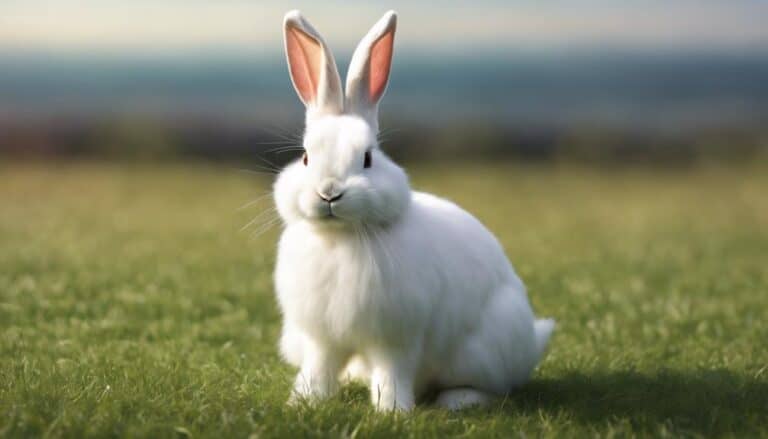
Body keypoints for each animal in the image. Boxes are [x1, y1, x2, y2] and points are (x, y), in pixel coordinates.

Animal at [273, 10, 555, 411]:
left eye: (368, 158)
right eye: (306, 157)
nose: (329, 192)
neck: (341, 238)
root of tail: (533, 340)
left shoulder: (396, 337)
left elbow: (392, 373)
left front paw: (392, 411)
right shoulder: (321, 339)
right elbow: (318, 370)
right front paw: (303, 403)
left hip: (484, 350)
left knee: (495, 387)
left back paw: (457, 400)